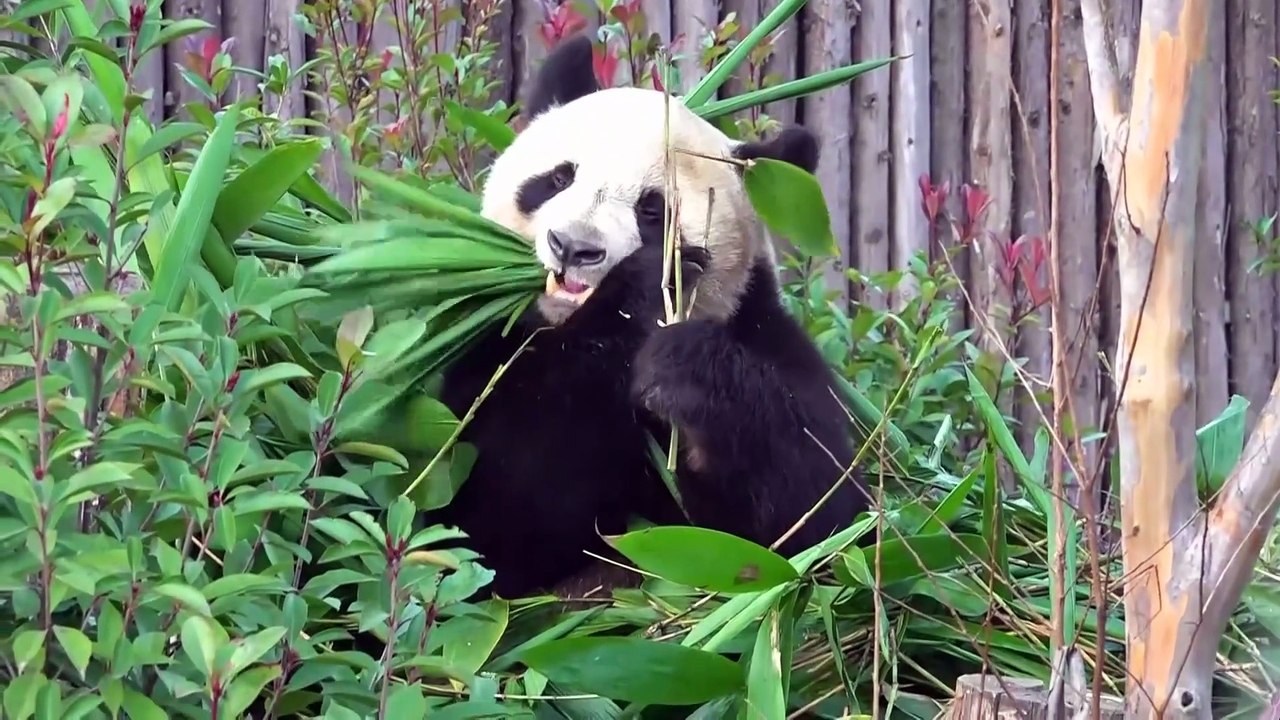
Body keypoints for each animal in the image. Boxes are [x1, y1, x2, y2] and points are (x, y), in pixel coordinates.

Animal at [426, 33, 868, 601]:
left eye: (652, 210)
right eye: (557, 178)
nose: (573, 247)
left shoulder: (762, 332)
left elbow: (814, 523)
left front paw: (686, 373)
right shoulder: (487, 354)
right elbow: (484, 517)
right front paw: (632, 297)